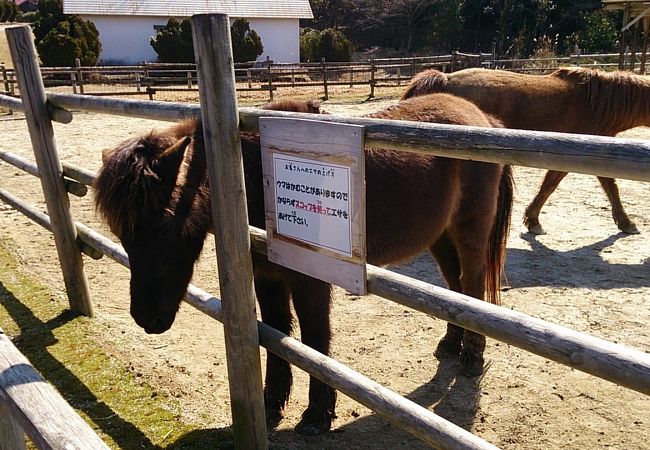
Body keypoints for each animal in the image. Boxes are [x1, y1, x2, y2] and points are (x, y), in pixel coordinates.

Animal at [95, 95, 512, 436]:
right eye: (122, 234)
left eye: (164, 227)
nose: (147, 318)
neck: (251, 175)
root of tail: (484, 117)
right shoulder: (266, 275)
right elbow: (276, 334)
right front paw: (270, 404)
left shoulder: (309, 278)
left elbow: (315, 338)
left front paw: (316, 414)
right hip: (439, 237)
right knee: (456, 290)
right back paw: (451, 344)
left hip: (469, 233)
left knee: (473, 286)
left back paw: (472, 356)